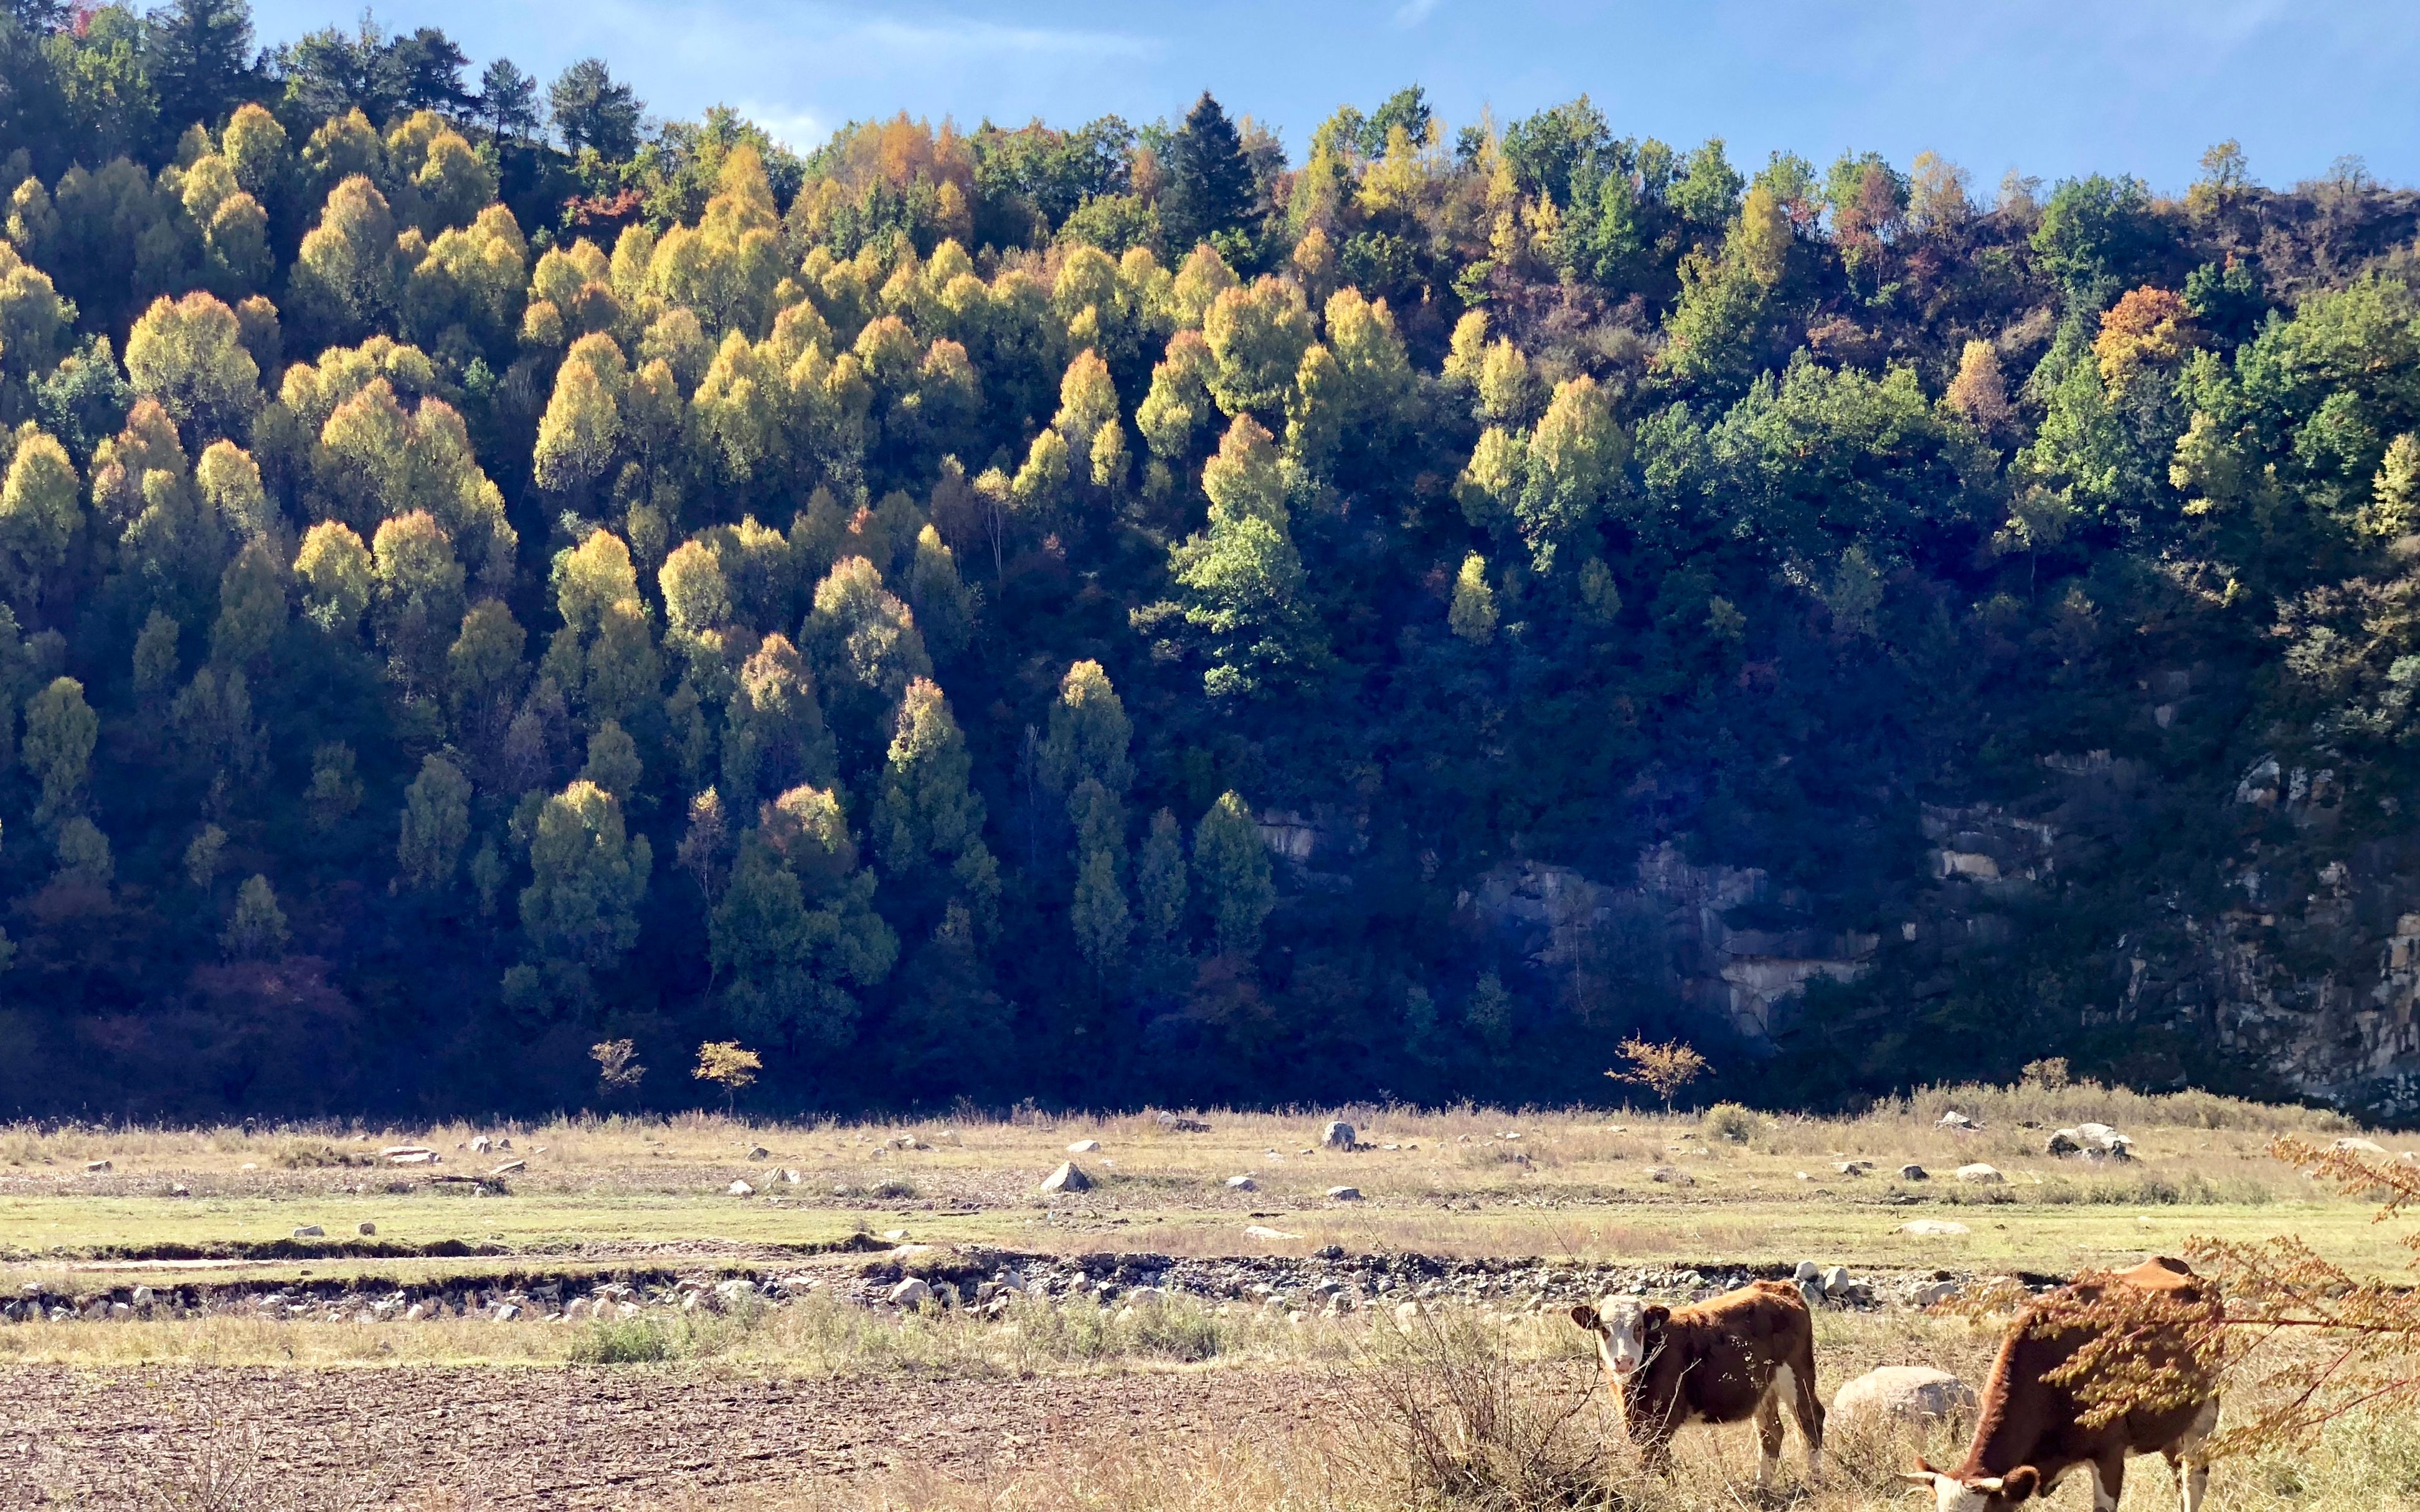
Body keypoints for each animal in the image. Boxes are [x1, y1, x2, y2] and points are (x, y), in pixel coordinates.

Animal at [1568, 1277, 1820, 1490]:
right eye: (1604, 1329)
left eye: (1639, 1328)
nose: (1624, 1360)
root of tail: (1779, 1286)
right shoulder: (1637, 1421)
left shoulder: (1663, 1419)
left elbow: (1656, 1460)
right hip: (1764, 1389)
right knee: (1771, 1433)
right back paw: (1762, 1485)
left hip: (1797, 1376)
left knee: (1810, 1420)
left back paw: (1814, 1480)